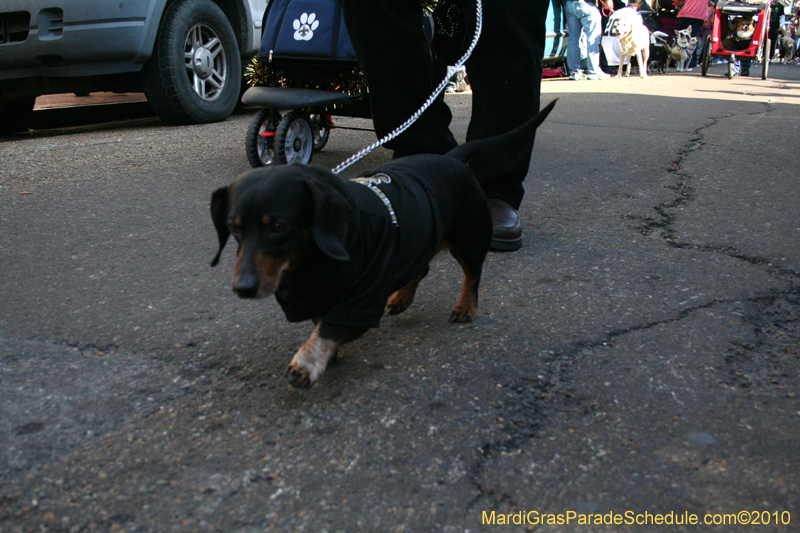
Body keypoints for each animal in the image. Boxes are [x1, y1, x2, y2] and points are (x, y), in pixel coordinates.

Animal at [209, 102, 556, 388]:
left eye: (279, 226)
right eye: (233, 227)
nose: (242, 288)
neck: (309, 264)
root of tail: (453, 158)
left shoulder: (362, 301)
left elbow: (328, 330)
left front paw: (307, 362)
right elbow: (322, 324)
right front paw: (327, 356)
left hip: (469, 238)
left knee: (472, 275)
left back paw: (465, 307)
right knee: (421, 268)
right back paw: (401, 297)